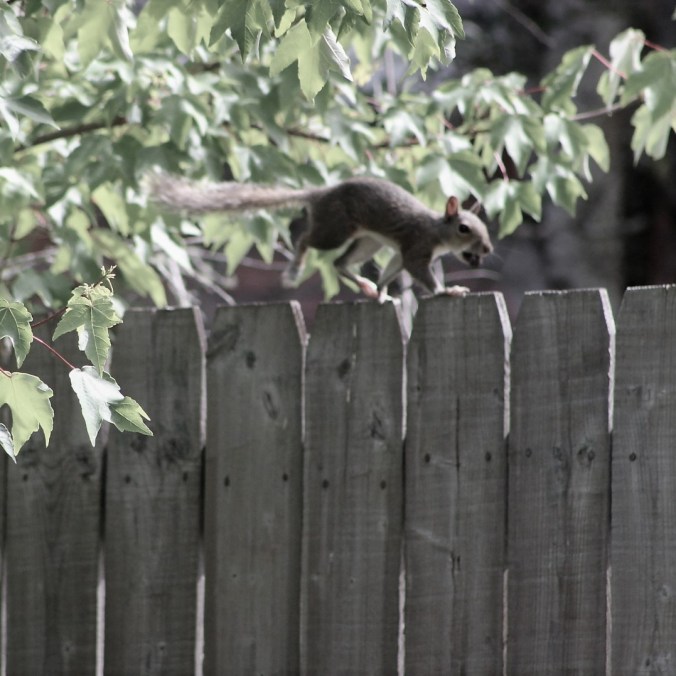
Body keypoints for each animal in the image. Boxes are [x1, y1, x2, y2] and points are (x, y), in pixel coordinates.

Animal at [148, 174, 493, 301]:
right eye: (465, 229)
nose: (488, 249)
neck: (437, 230)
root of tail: (320, 194)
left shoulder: (399, 252)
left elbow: (392, 269)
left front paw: (383, 292)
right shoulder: (417, 249)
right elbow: (421, 275)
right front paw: (448, 291)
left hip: (368, 241)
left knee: (341, 263)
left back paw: (367, 287)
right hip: (336, 230)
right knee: (306, 242)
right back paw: (295, 269)